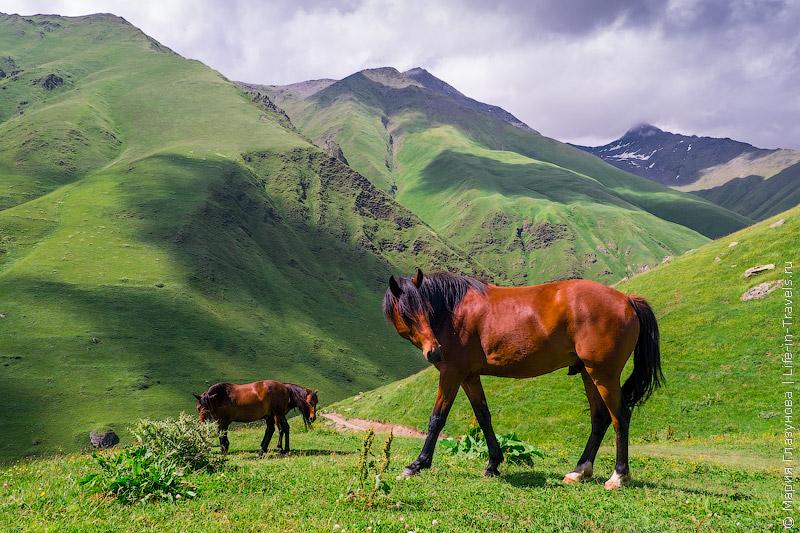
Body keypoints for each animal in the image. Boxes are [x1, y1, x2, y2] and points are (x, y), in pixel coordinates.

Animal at [382, 268, 664, 488]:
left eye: (425, 310)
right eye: (406, 314)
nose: (435, 351)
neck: (454, 312)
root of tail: (627, 299)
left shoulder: (452, 373)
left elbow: (437, 419)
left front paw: (417, 464)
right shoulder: (469, 377)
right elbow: (483, 417)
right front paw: (493, 464)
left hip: (604, 374)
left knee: (620, 416)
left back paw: (618, 476)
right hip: (588, 373)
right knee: (600, 418)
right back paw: (579, 471)